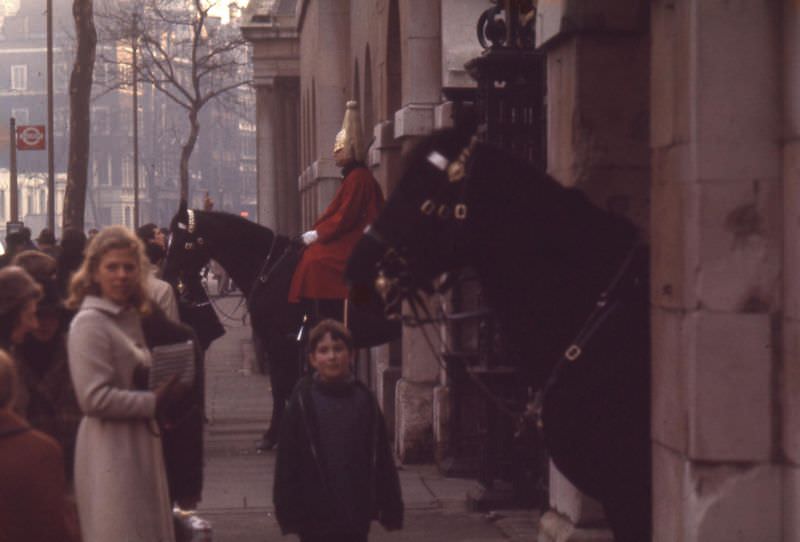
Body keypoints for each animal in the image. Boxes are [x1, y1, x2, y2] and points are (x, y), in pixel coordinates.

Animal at [163, 202, 400, 448]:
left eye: (182, 241)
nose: (166, 277)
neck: (269, 268)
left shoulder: (277, 339)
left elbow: (279, 384)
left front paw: (271, 436)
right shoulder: (290, 343)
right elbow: (289, 383)